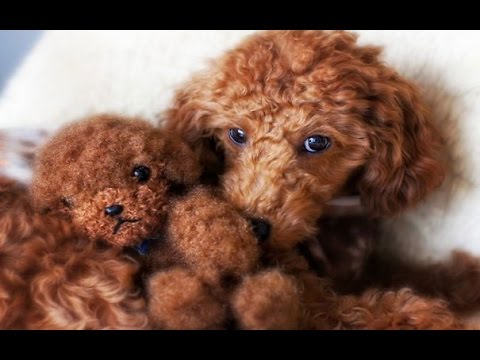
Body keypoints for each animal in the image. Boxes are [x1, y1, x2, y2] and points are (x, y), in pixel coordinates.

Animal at [165, 30, 458, 330]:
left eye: (316, 142)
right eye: (236, 134)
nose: (253, 226)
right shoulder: (318, 305)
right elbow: (352, 313)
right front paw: (427, 315)